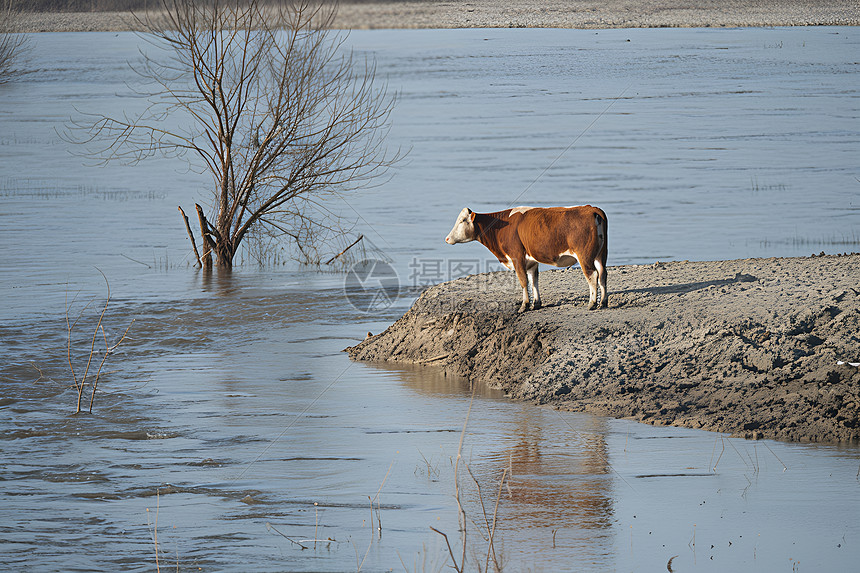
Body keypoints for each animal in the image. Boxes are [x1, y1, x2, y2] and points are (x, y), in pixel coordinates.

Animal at [446, 206, 608, 310]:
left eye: (462, 220)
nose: (447, 238)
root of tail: (592, 209)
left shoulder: (516, 256)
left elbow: (523, 281)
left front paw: (524, 305)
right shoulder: (531, 261)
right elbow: (533, 280)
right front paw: (536, 303)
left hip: (584, 255)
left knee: (592, 275)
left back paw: (592, 303)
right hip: (601, 254)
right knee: (602, 274)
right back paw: (603, 302)